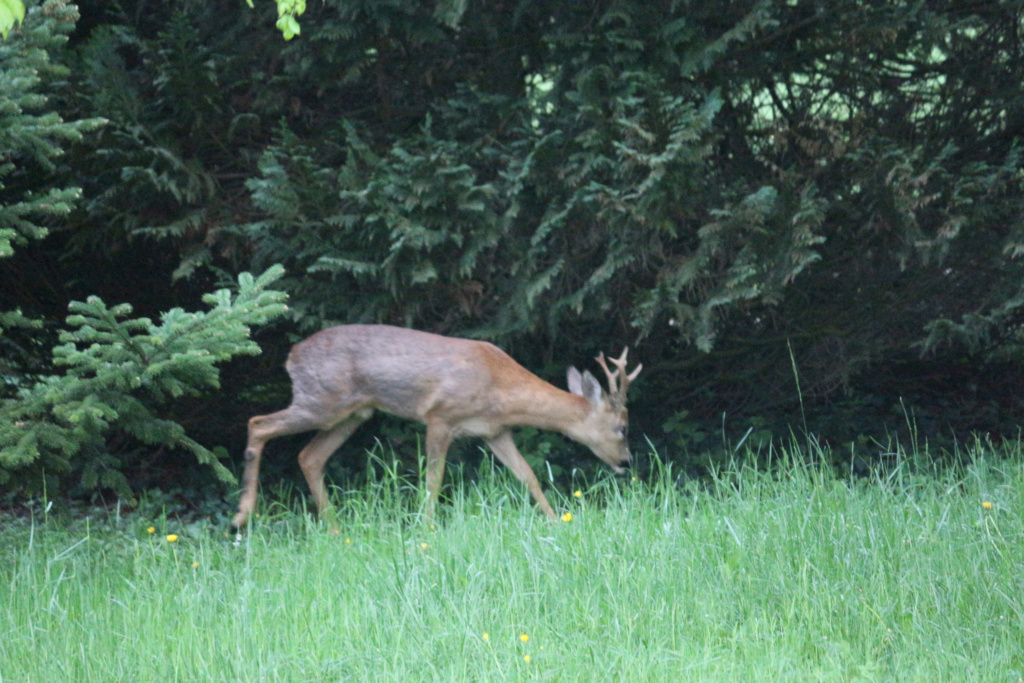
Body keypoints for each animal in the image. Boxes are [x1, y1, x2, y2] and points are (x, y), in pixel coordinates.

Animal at [235, 323, 643, 528]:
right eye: (622, 428)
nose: (626, 462)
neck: (500, 386)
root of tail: (291, 356)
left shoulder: (495, 431)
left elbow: (528, 474)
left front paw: (556, 521)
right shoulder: (440, 416)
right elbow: (434, 479)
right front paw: (426, 530)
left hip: (351, 413)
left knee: (309, 456)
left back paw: (335, 529)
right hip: (321, 401)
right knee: (257, 423)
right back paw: (243, 514)